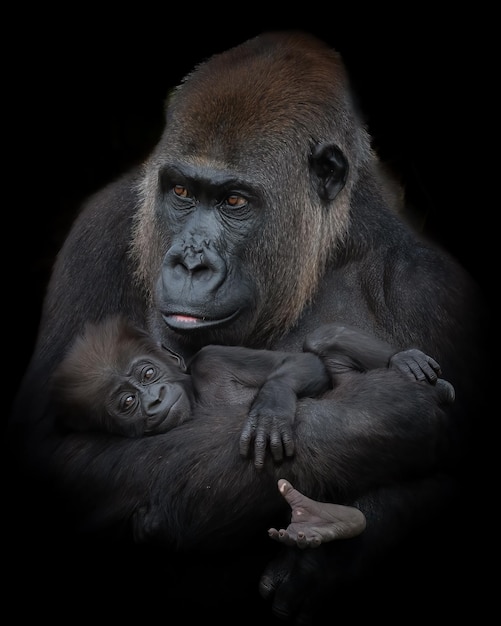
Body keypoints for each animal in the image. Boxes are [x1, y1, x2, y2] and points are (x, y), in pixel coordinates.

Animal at [50, 316, 454, 544]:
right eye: (127, 402)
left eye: (148, 373)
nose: (153, 400)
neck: (194, 397)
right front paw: (144, 526)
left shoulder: (211, 359)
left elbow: (300, 364)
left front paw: (272, 405)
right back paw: (325, 522)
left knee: (323, 341)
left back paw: (405, 362)